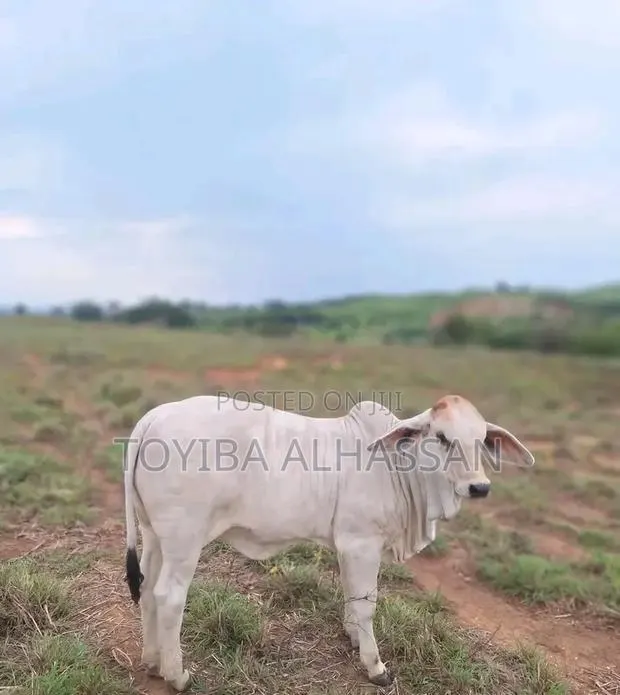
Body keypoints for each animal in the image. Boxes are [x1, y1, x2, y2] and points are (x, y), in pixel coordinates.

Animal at [123, 393, 534, 691]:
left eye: (482, 440)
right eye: (442, 437)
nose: (479, 487)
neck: (398, 467)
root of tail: (152, 418)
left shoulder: (348, 546)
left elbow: (352, 598)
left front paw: (353, 637)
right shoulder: (361, 543)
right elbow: (366, 605)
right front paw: (375, 666)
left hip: (154, 535)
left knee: (147, 588)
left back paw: (152, 660)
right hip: (184, 539)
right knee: (169, 597)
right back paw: (177, 675)